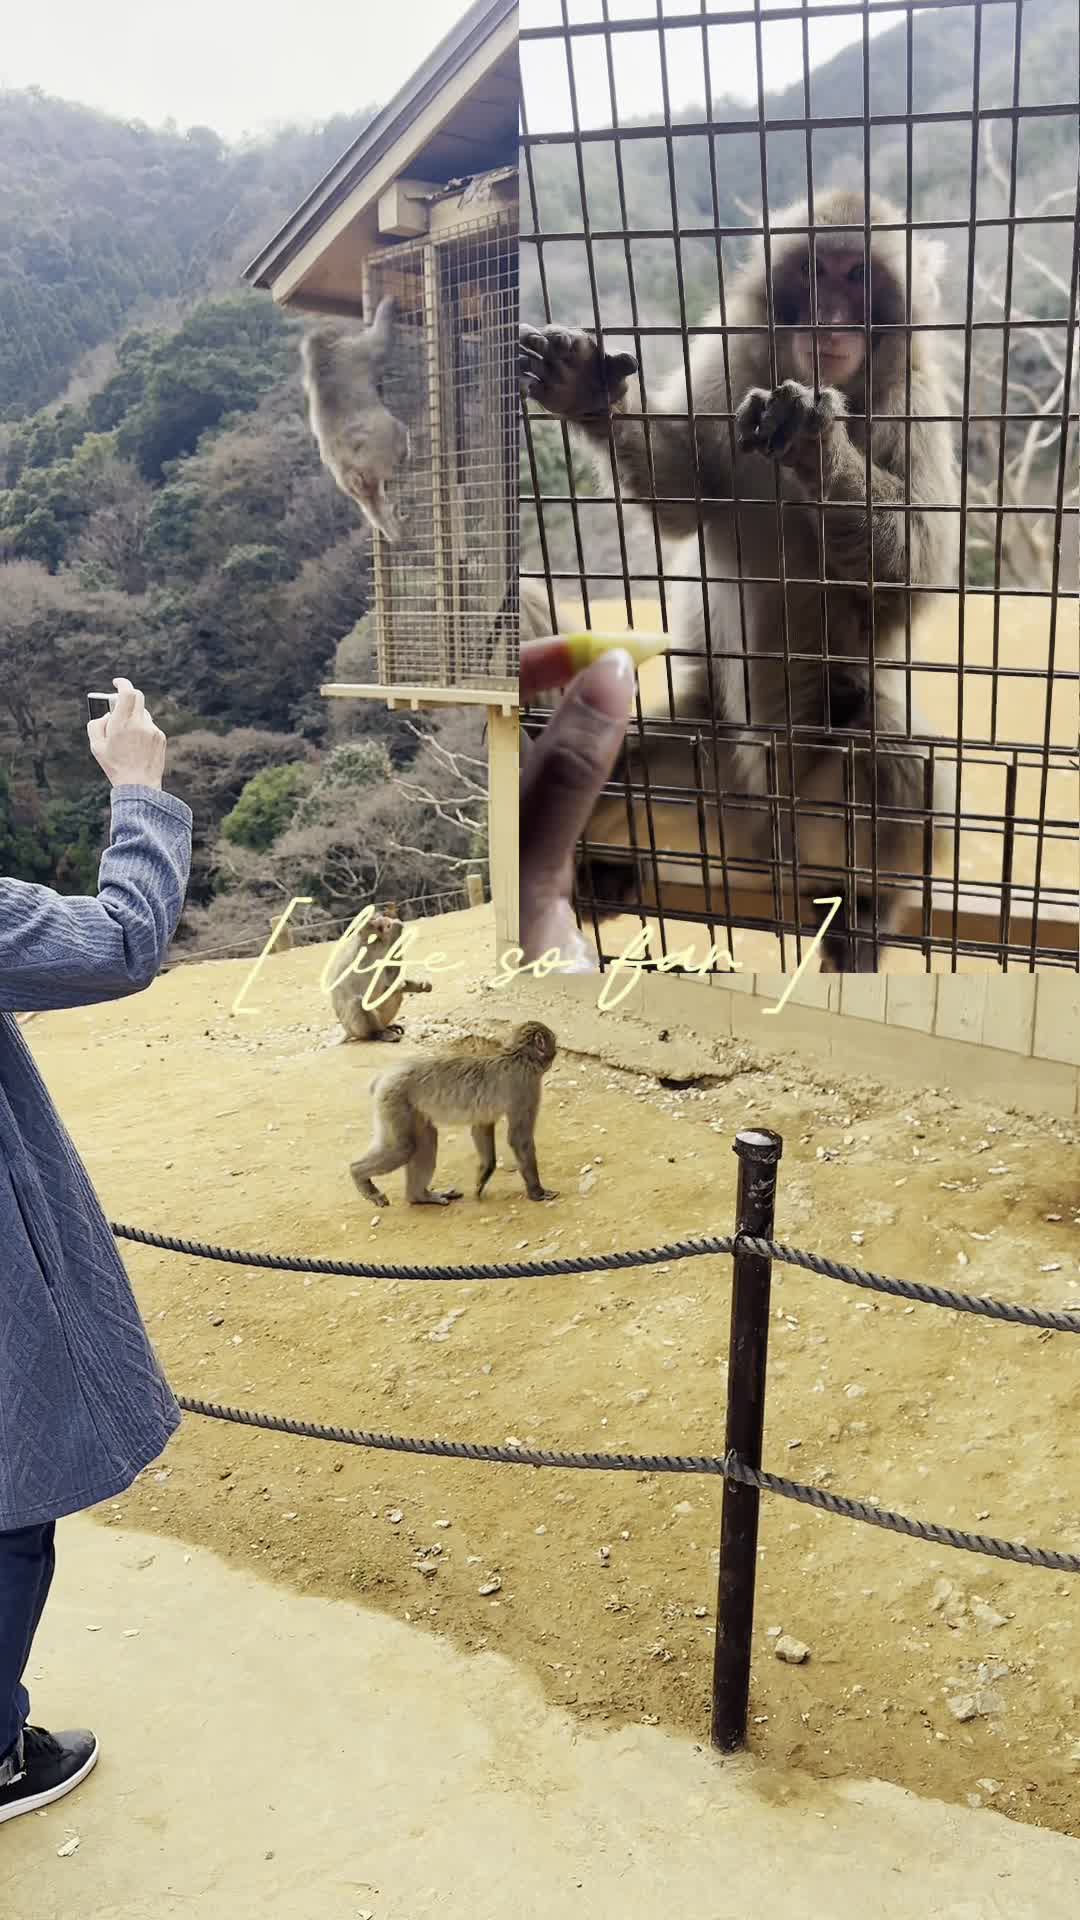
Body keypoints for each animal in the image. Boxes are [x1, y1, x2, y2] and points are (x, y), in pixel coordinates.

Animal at [300, 297, 410, 544]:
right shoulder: (354, 351)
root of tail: (349, 471)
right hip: (379, 451)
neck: (321, 360)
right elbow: (379, 344)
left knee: (370, 503)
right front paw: (388, 303)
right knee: (396, 430)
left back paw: (390, 527)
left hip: (354, 480)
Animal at [331, 906, 433, 1043]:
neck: (374, 942)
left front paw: (421, 985)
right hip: (353, 1026)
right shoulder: (368, 957)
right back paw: (379, 1033)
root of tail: (348, 1031)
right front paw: (396, 927)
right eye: (376, 922)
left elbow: (394, 986)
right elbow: (386, 985)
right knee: (359, 1002)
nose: (383, 919)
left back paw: (388, 1027)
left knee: (395, 996)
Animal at [349, 1020, 559, 1208]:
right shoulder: (526, 1086)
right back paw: (358, 1174)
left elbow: (482, 1125)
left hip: (403, 1105)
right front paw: (537, 1192)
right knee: (404, 1148)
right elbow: (519, 1139)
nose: (555, 1051)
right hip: (394, 1099)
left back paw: (419, 1197)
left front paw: (483, 1176)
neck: (519, 1055)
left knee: (425, 1140)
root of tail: (385, 1075)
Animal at [519, 190, 959, 971]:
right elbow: (683, 491)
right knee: (632, 760)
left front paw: (818, 446)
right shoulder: (729, 357)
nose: (829, 317)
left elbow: (912, 579)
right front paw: (588, 392)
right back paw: (603, 868)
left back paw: (868, 904)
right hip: (709, 778)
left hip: (812, 805)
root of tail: (764, 845)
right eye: (814, 273)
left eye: (857, 276)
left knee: (885, 745)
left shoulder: (915, 398)